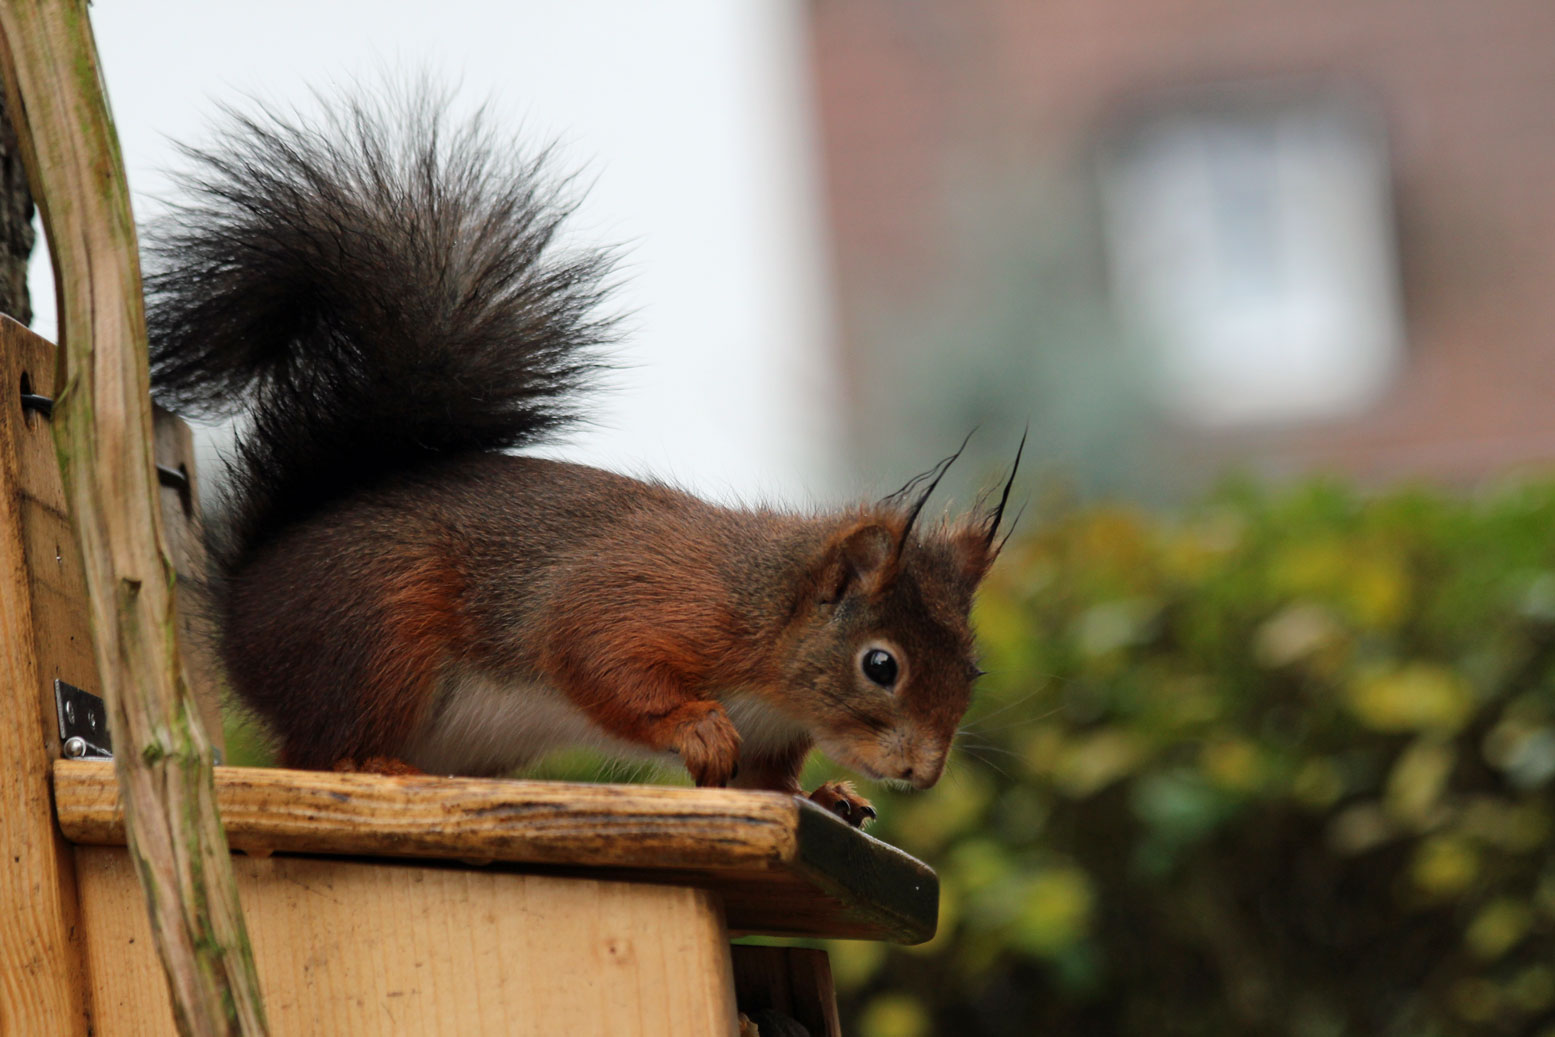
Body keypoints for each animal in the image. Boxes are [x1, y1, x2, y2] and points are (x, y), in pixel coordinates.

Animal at [146, 93, 1020, 833]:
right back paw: (378, 765)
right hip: (377, 630)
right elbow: (594, 654)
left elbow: (767, 785)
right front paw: (695, 726)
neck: (767, 620)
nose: (922, 772)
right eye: (880, 664)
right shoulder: (648, 599)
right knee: (319, 751)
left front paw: (825, 794)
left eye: (973, 668)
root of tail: (245, 601)